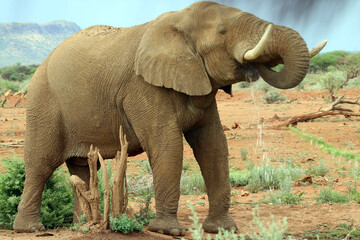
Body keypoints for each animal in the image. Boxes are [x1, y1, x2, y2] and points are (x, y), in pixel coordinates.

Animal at [12, 0, 326, 235]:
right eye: (223, 31)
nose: (253, 66)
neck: (179, 20)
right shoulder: (142, 87)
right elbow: (167, 144)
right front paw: (167, 231)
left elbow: (213, 145)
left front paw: (222, 229)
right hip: (43, 103)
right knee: (40, 165)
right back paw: (32, 229)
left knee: (81, 168)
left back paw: (82, 226)